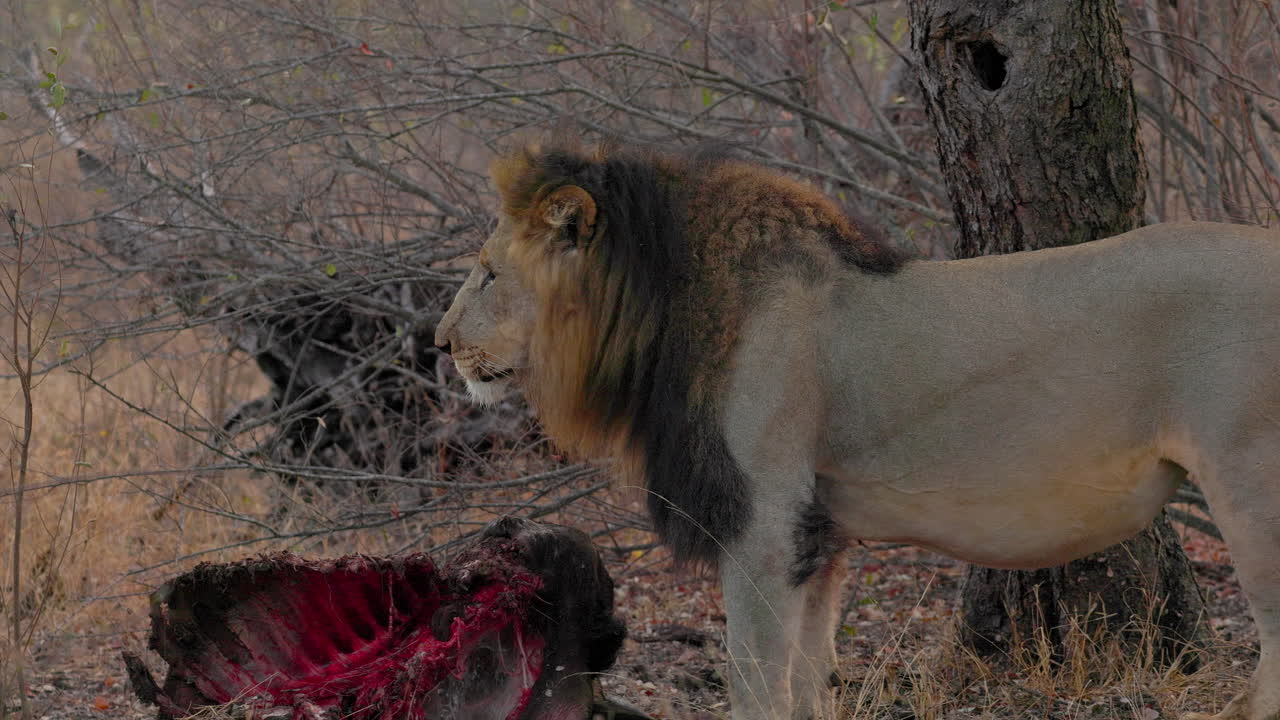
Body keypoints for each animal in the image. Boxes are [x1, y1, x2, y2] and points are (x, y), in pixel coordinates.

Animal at [434, 139, 1280, 720]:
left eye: (488, 273)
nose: (439, 344)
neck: (660, 318)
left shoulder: (765, 520)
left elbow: (755, 681)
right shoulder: (819, 532)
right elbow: (809, 680)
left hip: (1250, 488)